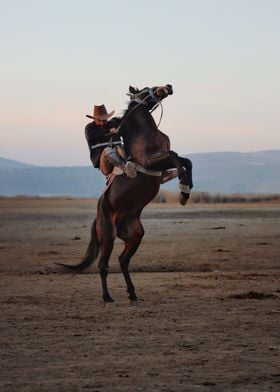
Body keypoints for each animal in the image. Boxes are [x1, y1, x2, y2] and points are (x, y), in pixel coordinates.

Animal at [58, 84, 194, 302]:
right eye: (146, 88)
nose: (168, 86)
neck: (144, 132)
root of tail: (99, 215)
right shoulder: (152, 161)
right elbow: (176, 157)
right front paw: (182, 184)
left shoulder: (161, 160)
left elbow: (186, 161)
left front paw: (185, 191)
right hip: (108, 237)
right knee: (103, 265)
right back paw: (107, 296)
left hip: (135, 236)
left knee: (123, 260)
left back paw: (132, 293)